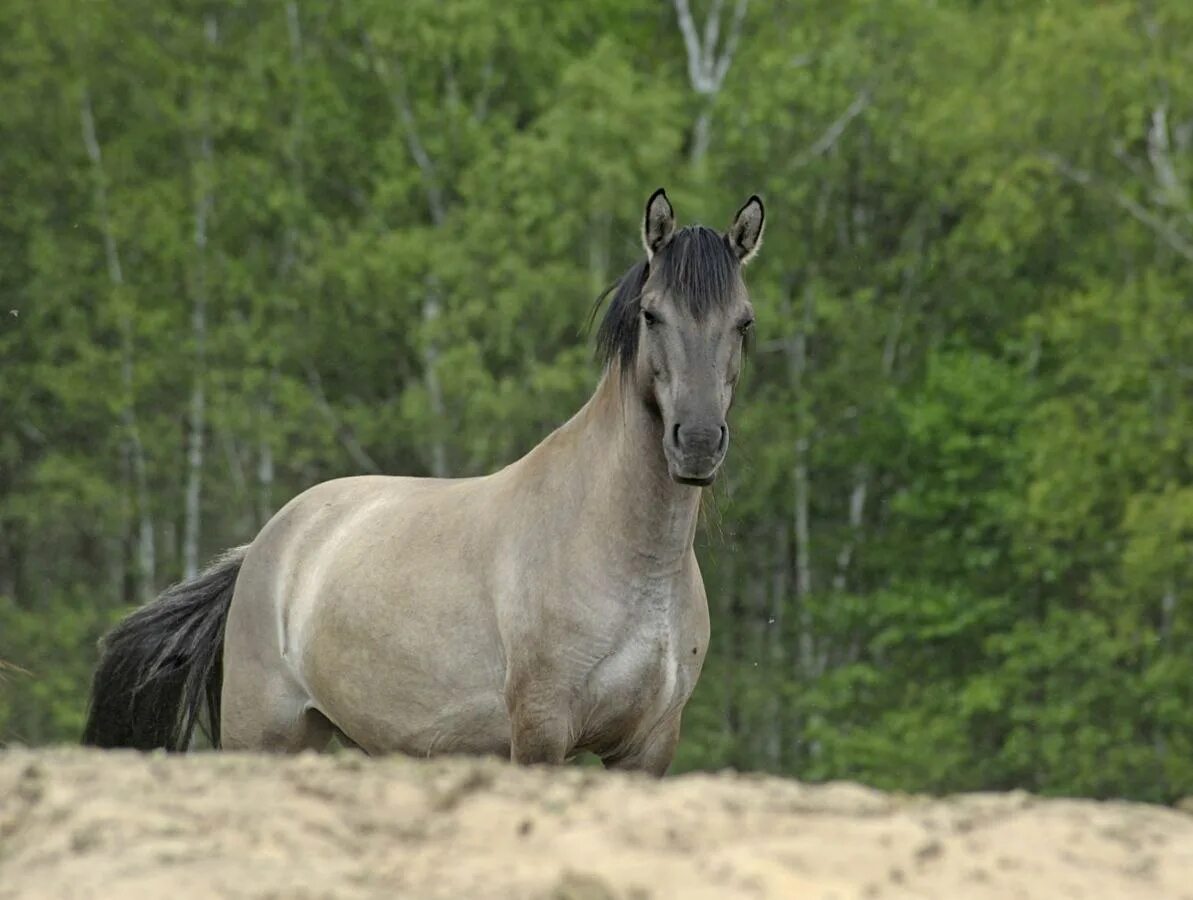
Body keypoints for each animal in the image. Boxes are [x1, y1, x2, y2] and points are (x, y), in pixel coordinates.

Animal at [86, 187, 773, 773]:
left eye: (743, 323)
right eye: (652, 316)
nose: (698, 442)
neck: (624, 555)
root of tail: (266, 545)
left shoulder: (647, 748)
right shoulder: (541, 734)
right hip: (264, 737)